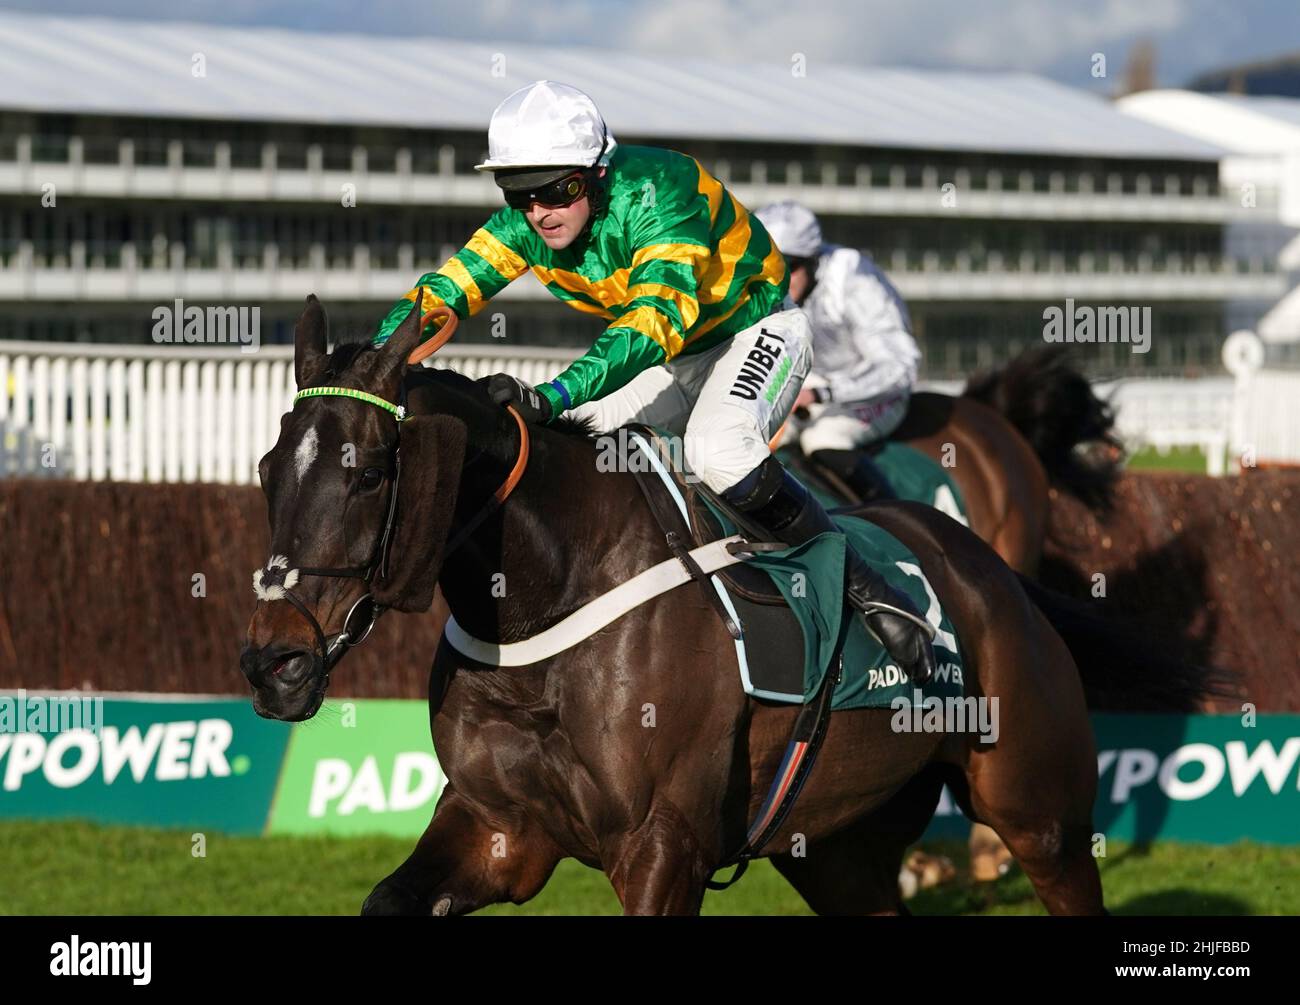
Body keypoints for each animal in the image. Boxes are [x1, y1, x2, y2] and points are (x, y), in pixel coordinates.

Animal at [241, 296, 1206, 910]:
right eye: (266, 468)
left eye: (368, 474)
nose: (270, 661)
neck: (547, 605)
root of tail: (989, 571)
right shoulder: (499, 829)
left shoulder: (662, 847)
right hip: (839, 846)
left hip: (1040, 811)